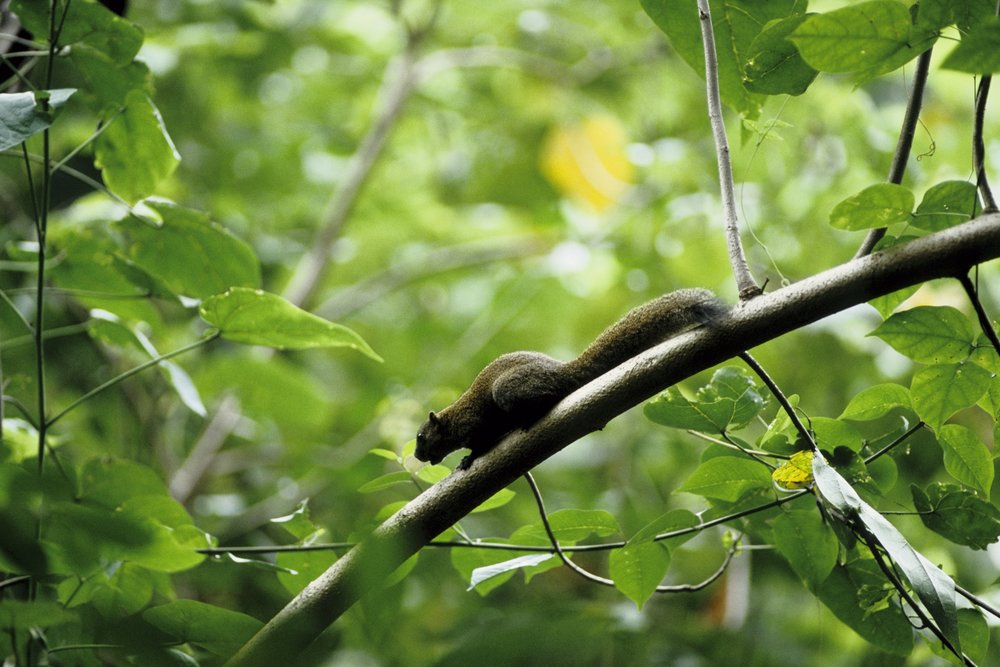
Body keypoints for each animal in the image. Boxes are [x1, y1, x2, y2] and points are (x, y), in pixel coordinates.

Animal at [414, 288, 728, 470]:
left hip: (508, 390)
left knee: (548, 395)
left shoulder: (475, 425)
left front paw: (468, 459)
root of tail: (564, 372)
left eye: (420, 437)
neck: (452, 420)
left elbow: (482, 443)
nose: (417, 456)